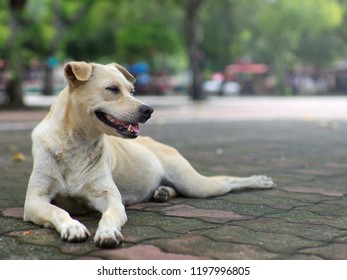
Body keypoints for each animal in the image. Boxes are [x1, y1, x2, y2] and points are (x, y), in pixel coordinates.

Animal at [23, 61, 276, 247]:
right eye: (112, 89)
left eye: (132, 91)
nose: (149, 109)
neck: (76, 144)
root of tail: (155, 143)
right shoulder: (35, 200)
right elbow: (58, 211)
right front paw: (72, 225)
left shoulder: (110, 198)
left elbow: (109, 216)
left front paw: (107, 232)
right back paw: (163, 192)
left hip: (196, 184)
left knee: (227, 181)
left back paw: (259, 180)